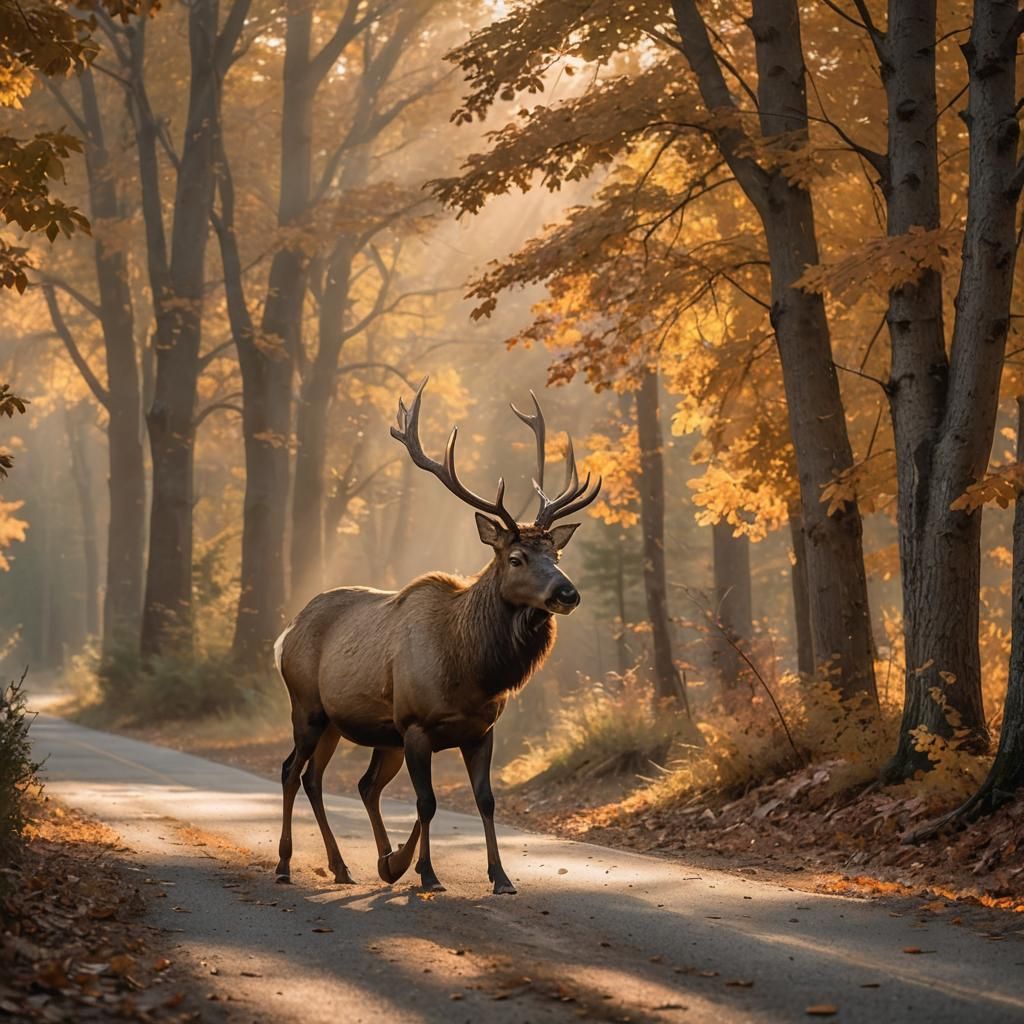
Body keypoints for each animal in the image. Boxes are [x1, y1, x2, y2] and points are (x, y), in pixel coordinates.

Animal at [272, 378, 600, 895]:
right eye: (516, 558)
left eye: (557, 555)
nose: (567, 593)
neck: (471, 672)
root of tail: (286, 634)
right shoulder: (415, 726)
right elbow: (426, 802)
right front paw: (426, 872)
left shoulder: (481, 730)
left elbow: (485, 800)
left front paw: (498, 876)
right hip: (306, 706)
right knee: (291, 771)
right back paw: (287, 864)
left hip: (347, 725)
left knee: (335, 781)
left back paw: (350, 865)